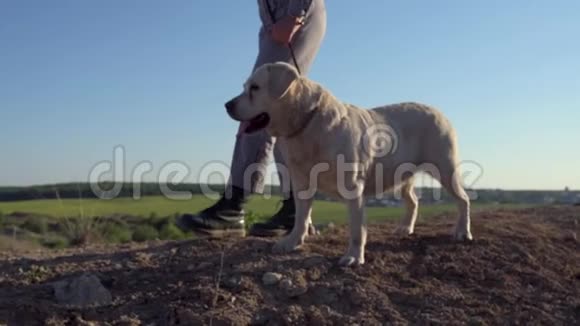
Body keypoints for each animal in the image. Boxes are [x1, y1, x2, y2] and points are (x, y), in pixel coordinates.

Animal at [224, 61, 474, 268]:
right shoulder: (302, 184)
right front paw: (292, 242)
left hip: (445, 169)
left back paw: (462, 232)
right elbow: (300, 218)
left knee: (463, 199)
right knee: (413, 201)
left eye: (255, 87)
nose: (227, 104)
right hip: (401, 175)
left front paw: (354, 257)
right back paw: (405, 228)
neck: (307, 122)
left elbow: (356, 229)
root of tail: (439, 112)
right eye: (245, 86)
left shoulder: (353, 189)